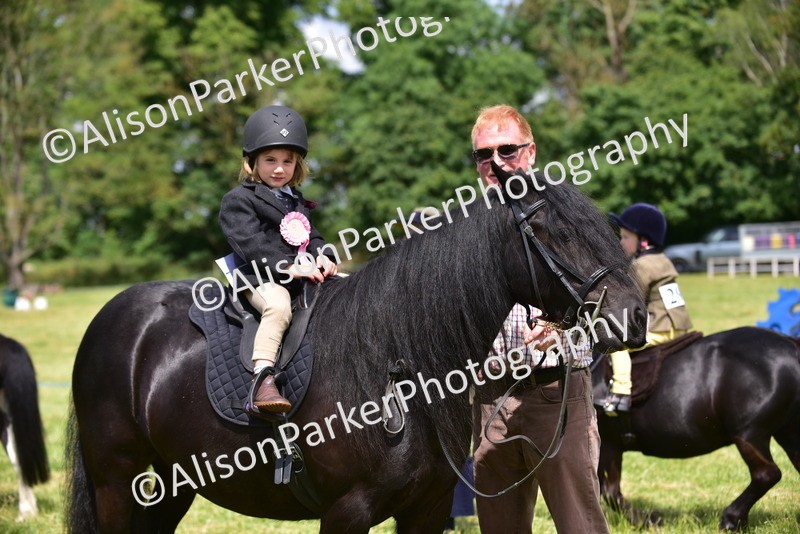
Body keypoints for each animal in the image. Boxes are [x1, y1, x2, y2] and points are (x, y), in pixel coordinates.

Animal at [66, 167, 648, 533]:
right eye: (556, 231)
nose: (634, 316)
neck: (395, 368)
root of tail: (112, 316)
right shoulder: (347, 512)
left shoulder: (427, 510)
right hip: (116, 480)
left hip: (170, 485)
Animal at [591, 327, 800, 531]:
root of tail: (791, 344)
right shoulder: (611, 445)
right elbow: (608, 491)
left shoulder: (608, 445)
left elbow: (608, 492)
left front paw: (650, 521)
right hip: (786, 434)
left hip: (749, 434)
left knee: (766, 474)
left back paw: (731, 519)